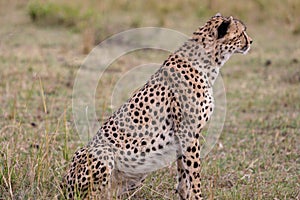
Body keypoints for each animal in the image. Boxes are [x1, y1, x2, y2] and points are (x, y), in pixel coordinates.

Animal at [62, 13, 252, 199]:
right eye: (241, 32)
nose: (251, 41)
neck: (208, 63)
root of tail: (64, 184)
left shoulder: (181, 136)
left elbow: (183, 171)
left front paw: (184, 194)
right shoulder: (188, 131)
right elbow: (194, 172)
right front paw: (197, 196)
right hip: (103, 152)